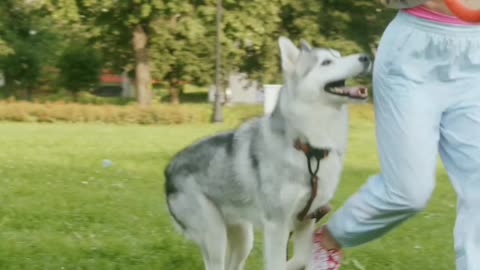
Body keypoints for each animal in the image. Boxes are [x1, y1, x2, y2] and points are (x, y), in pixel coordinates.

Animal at [165, 36, 372, 270]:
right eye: (326, 62)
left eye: (338, 55)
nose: (366, 57)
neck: (309, 150)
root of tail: (169, 168)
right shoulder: (277, 224)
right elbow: (277, 263)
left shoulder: (306, 220)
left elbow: (300, 258)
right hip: (215, 237)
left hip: (243, 237)